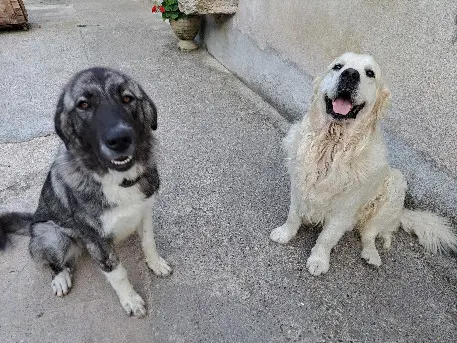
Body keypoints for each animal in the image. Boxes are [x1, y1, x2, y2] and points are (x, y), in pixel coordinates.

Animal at [0, 68, 171, 318]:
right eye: (83, 105)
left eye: (127, 98)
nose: (119, 139)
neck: (117, 180)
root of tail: (32, 221)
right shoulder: (96, 239)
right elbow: (118, 272)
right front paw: (130, 300)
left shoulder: (145, 211)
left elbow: (149, 242)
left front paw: (156, 263)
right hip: (53, 236)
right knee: (52, 262)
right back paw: (60, 278)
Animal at [270, 51, 456, 276]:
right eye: (338, 66)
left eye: (370, 73)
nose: (350, 74)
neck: (332, 145)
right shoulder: (299, 184)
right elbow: (293, 216)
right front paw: (285, 233)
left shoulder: (345, 208)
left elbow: (327, 237)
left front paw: (319, 260)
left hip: (394, 185)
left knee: (370, 233)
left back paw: (371, 254)